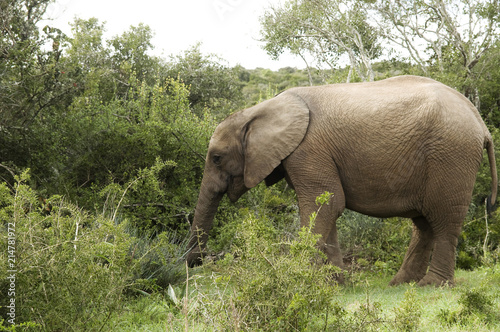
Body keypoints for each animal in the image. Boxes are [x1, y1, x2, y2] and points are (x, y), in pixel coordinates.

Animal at [186, 74, 498, 286]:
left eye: (216, 158)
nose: (197, 264)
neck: (258, 110)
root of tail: (480, 123)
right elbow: (327, 208)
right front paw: (336, 283)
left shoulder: (307, 150)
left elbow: (323, 206)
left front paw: (302, 280)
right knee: (424, 224)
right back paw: (401, 283)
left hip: (452, 155)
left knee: (443, 219)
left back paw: (431, 285)